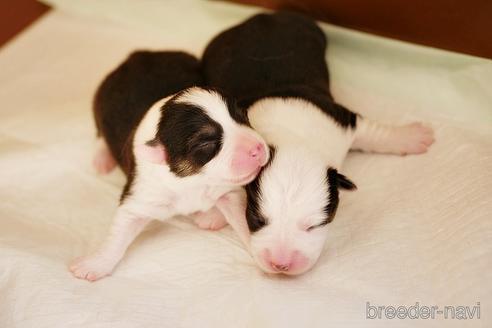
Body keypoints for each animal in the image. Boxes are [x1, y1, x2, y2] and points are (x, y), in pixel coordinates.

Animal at [68, 50, 270, 280]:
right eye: (206, 143)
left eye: (243, 116)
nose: (258, 149)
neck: (193, 180)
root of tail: (138, 54)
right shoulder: (141, 195)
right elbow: (119, 233)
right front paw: (93, 264)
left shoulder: (228, 190)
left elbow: (239, 214)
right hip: (98, 103)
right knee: (100, 134)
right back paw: (102, 159)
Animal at [201, 12, 434, 274]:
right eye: (257, 219)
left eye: (314, 225)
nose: (281, 264)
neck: (292, 139)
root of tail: (262, 16)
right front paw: (212, 214)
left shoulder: (341, 120)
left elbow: (375, 133)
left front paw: (412, 136)